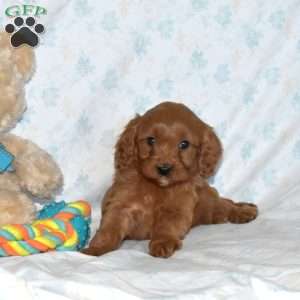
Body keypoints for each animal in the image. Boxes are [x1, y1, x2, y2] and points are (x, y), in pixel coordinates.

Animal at [82, 102, 258, 256]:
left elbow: (167, 227)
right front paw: (96, 249)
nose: (164, 169)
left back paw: (244, 211)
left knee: (225, 204)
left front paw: (162, 244)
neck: (156, 187)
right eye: (151, 140)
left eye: (184, 144)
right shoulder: (121, 205)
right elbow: (109, 229)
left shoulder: (176, 209)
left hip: (208, 201)